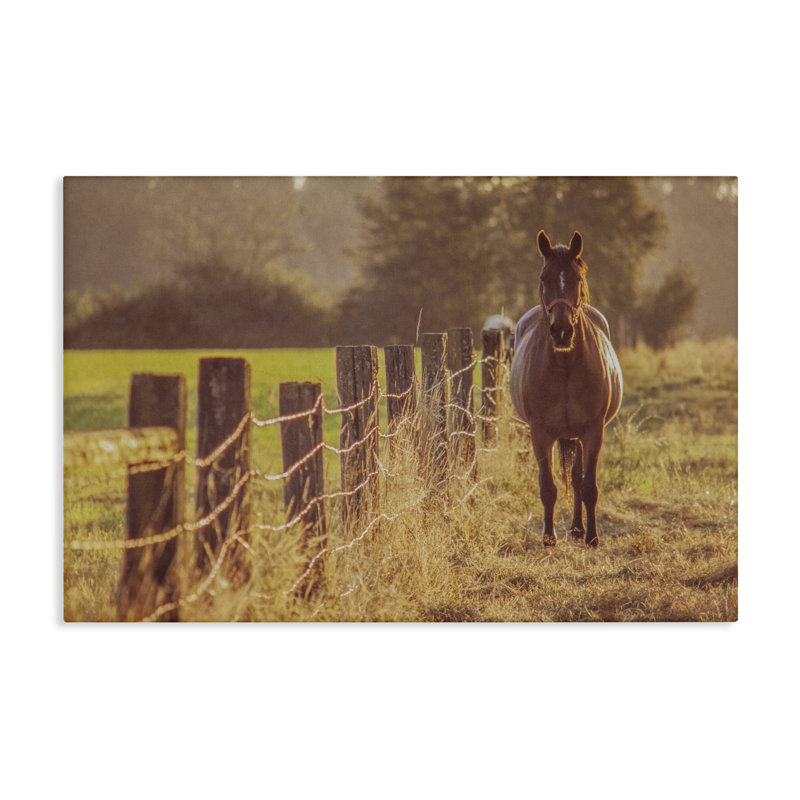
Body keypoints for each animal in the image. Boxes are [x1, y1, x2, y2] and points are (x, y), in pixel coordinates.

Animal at [510, 230, 623, 547]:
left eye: (577, 278)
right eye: (543, 278)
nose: (561, 331)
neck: (565, 368)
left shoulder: (593, 431)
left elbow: (588, 486)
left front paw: (593, 537)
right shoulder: (540, 434)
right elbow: (548, 487)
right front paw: (549, 537)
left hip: (577, 435)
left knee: (576, 477)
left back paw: (577, 528)